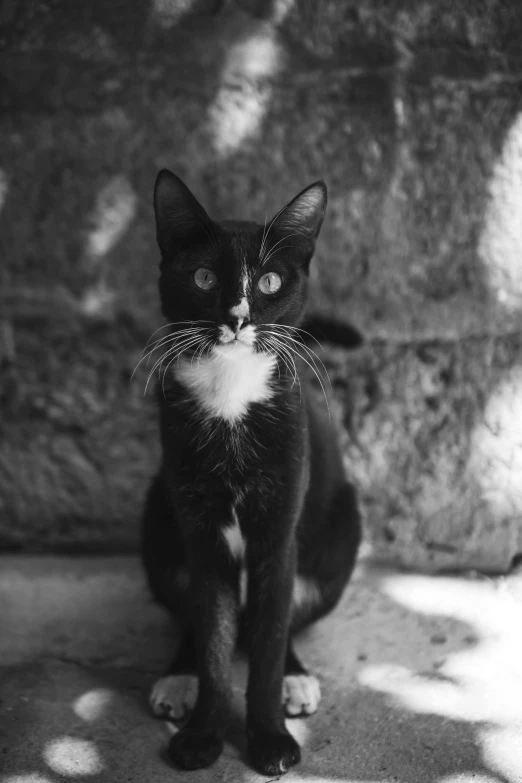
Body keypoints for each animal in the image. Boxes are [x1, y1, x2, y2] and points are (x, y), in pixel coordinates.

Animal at [140, 168, 360, 776]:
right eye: (203, 276)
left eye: (268, 281)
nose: (237, 318)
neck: (232, 392)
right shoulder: (201, 533)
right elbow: (214, 638)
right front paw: (201, 734)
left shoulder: (277, 532)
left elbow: (266, 644)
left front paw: (269, 737)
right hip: (157, 515)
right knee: (189, 613)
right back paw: (179, 675)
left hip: (339, 533)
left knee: (287, 615)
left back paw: (296, 678)